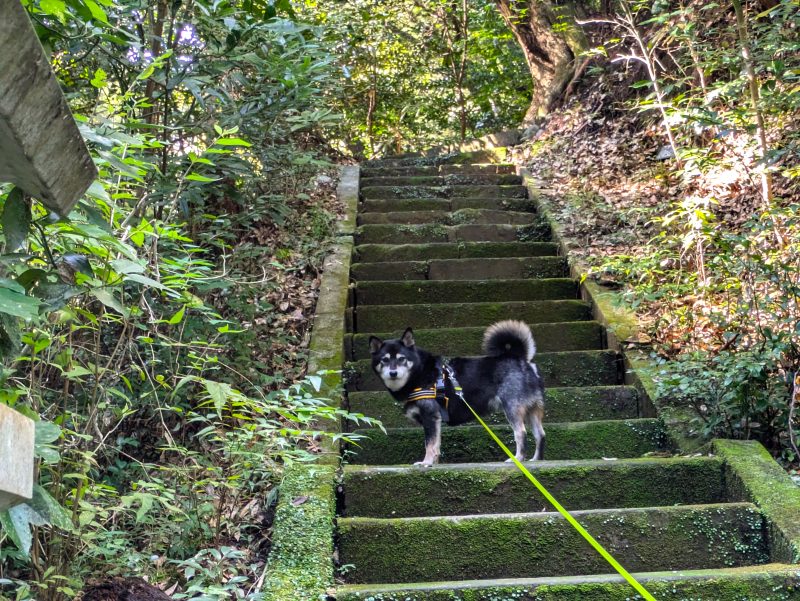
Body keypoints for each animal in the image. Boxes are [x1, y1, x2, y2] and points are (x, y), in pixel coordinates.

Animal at [368, 322, 544, 466]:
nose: (393, 373)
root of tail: (520, 359)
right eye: (384, 360)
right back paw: (536, 459)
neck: (419, 372)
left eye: (402, 358)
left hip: (512, 407)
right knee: (540, 434)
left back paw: (518, 458)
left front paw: (426, 462)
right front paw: (434, 462)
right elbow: (436, 444)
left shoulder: (430, 416)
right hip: (532, 410)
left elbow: (429, 443)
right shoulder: (436, 419)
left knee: (521, 433)